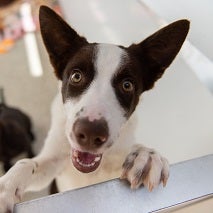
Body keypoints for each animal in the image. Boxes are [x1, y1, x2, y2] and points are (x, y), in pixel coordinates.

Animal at [0, 5, 189, 212]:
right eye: (76, 76)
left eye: (127, 85)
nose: (91, 134)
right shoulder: (53, 162)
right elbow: (27, 163)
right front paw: (6, 187)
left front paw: (145, 155)